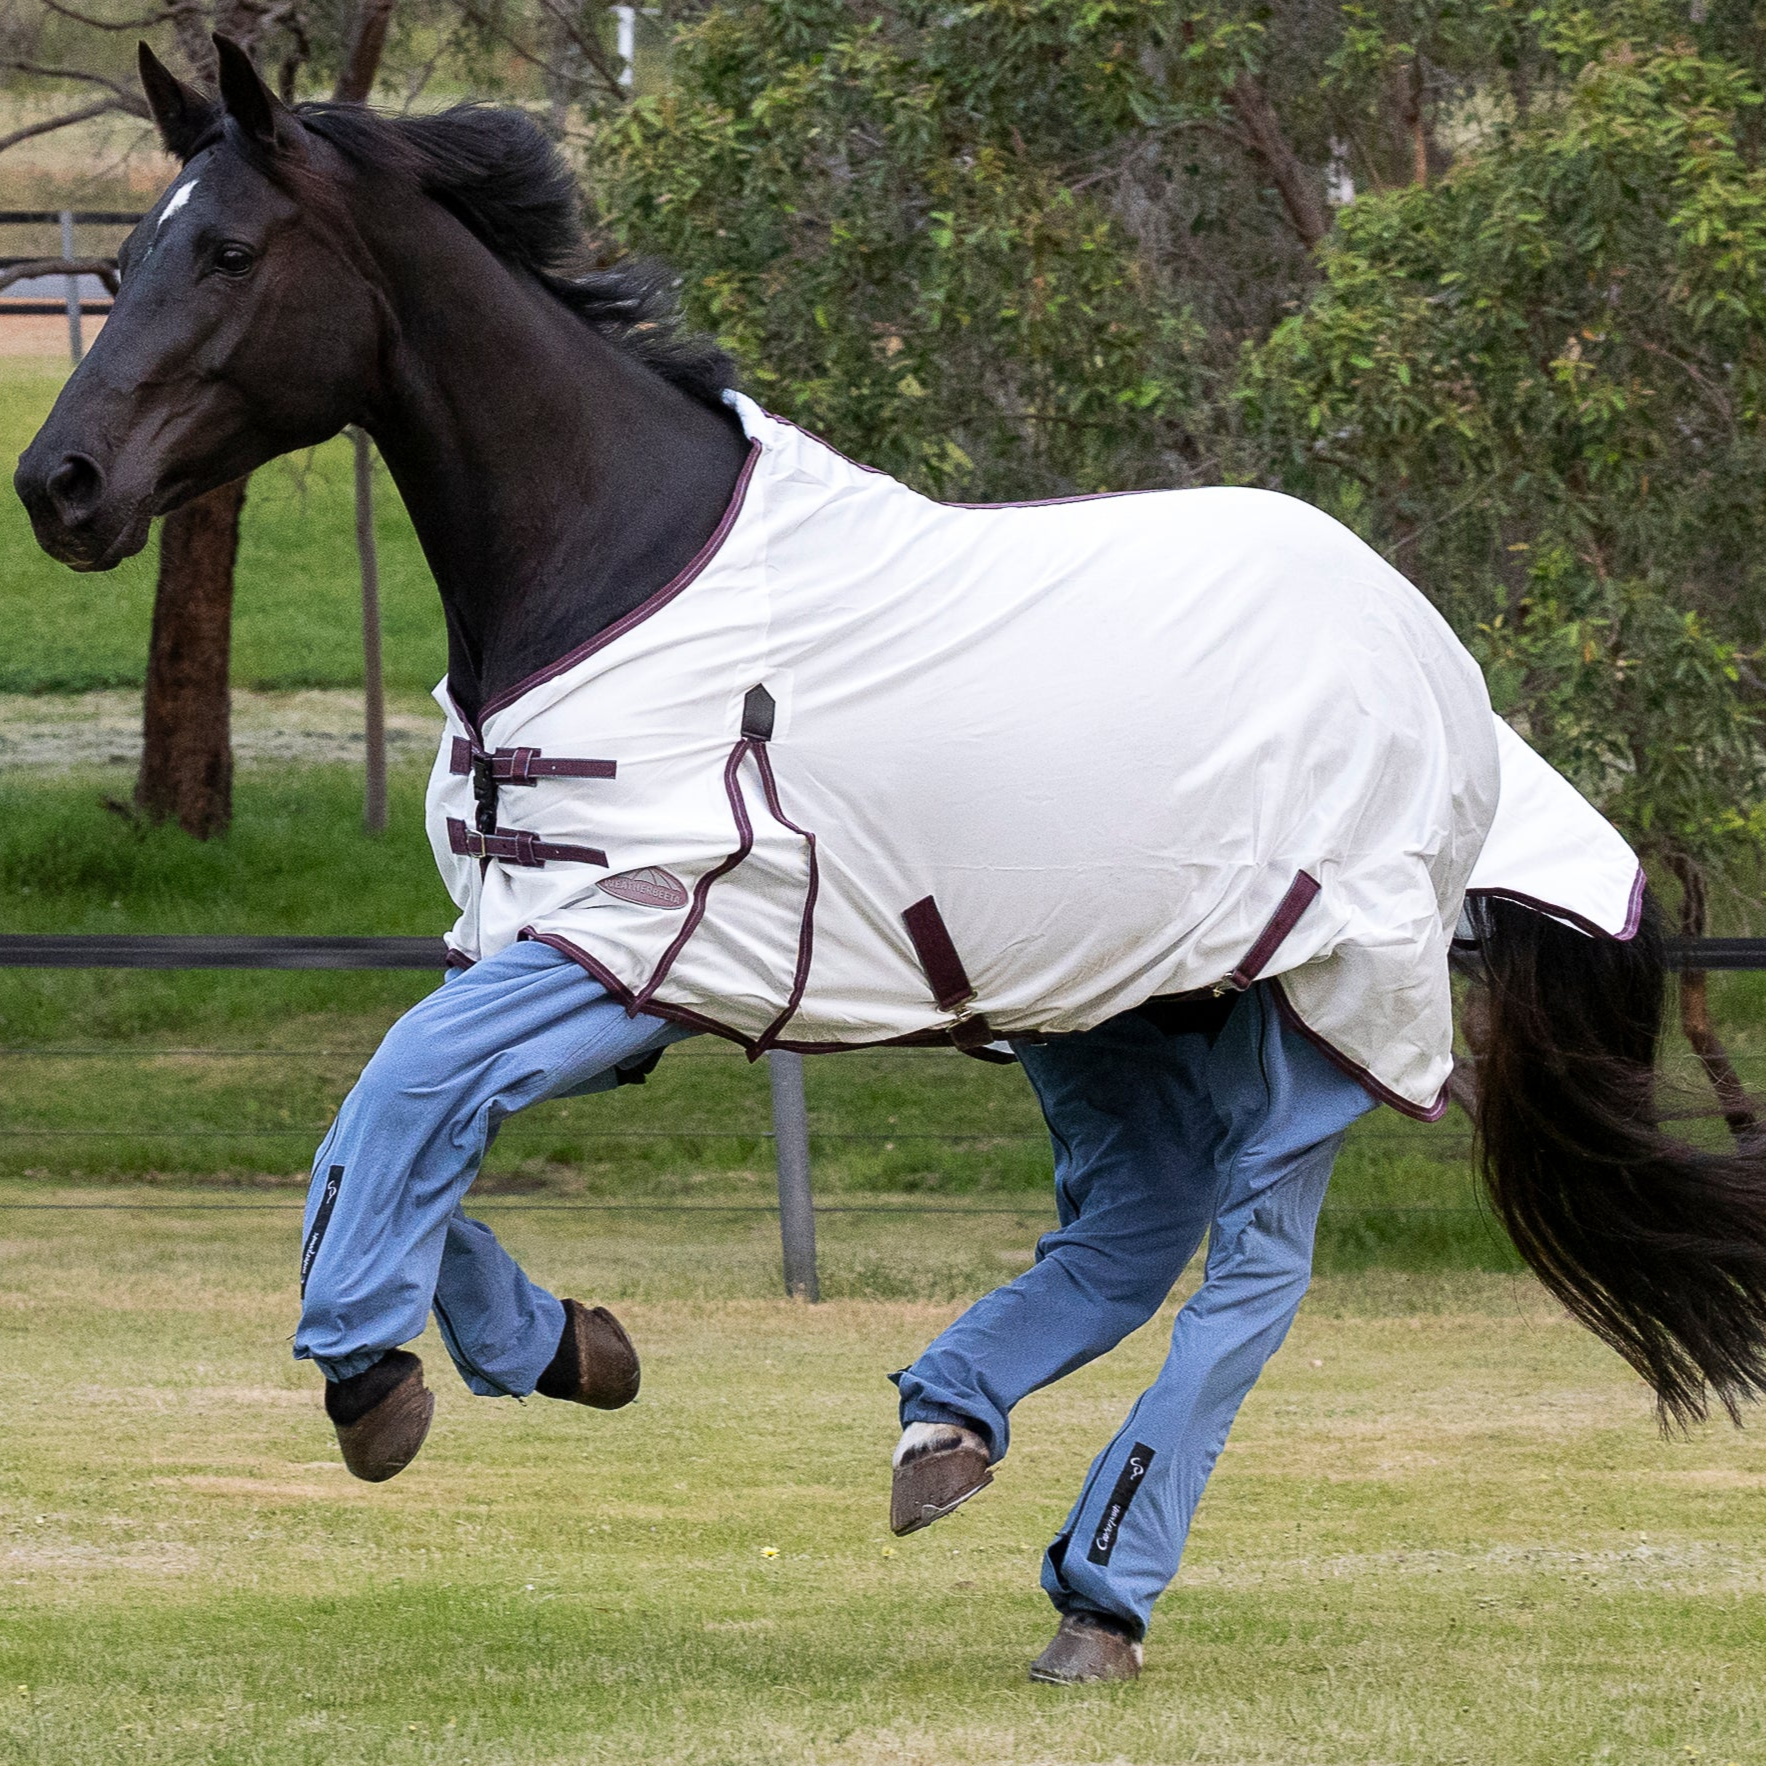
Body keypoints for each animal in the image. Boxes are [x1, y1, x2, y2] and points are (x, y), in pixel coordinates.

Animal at [16, 36, 1766, 1683]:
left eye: (229, 249)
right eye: (129, 253)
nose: (60, 485)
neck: (616, 560)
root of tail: (1438, 659)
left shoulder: (637, 940)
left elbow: (398, 1099)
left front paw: (380, 1380)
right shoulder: (518, 934)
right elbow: (377, 1132)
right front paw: (577, 1344)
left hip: (1323, 1004)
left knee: (1245, 1283)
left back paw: (1097, 1594)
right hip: (1110, 997)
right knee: (1133, 1227)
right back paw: (946, 1424)